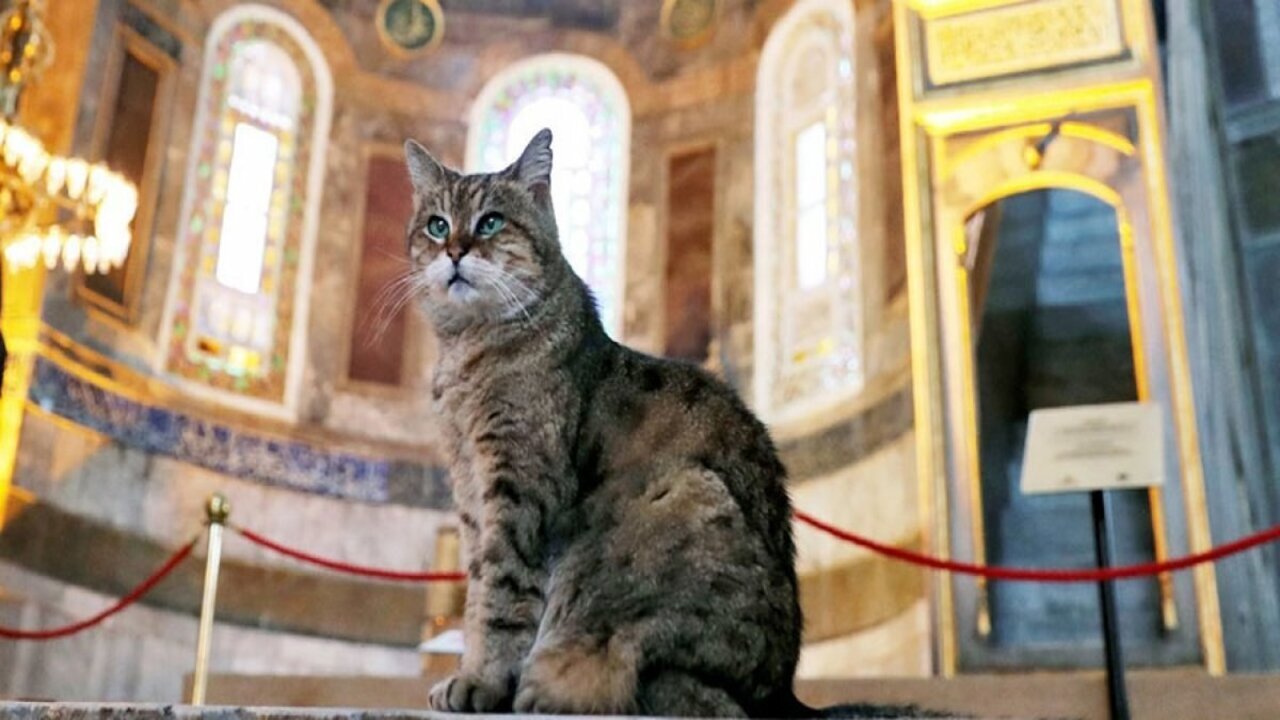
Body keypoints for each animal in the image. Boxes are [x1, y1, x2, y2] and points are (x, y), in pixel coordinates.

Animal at [399, 130, 952, 717]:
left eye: (490, 223)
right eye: (437, 225)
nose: (455, 250)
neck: (469, 351)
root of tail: (785, 696)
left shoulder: (518, 487)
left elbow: (500, 595)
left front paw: (481, 683)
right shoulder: (470, 494)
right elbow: (478, 587)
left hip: (679, 499)